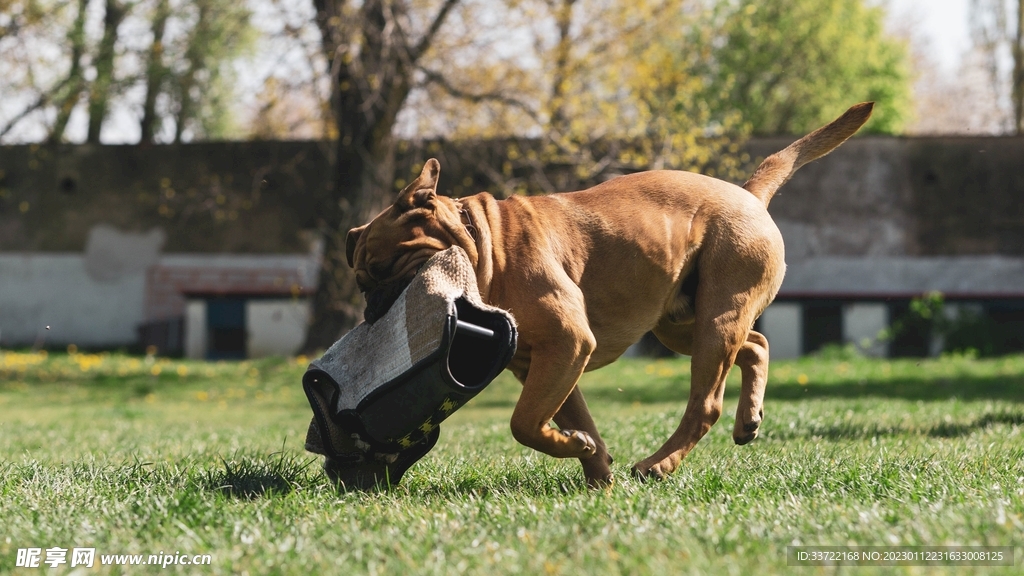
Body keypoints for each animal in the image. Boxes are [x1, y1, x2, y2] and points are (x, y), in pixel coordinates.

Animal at [346, 103, 872, 483]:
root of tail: (749, 195)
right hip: (684, 324)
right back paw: (749, 420)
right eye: (361, 282)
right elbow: (564, 420)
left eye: (381, 269)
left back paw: (659, 465)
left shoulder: (567, 343)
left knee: (705, 403)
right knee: (756, 345)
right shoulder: (546, 364)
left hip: (716, 320)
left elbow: (523, 423)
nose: (371, 311)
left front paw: (581, 452)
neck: (483, 241)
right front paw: (594, 467)